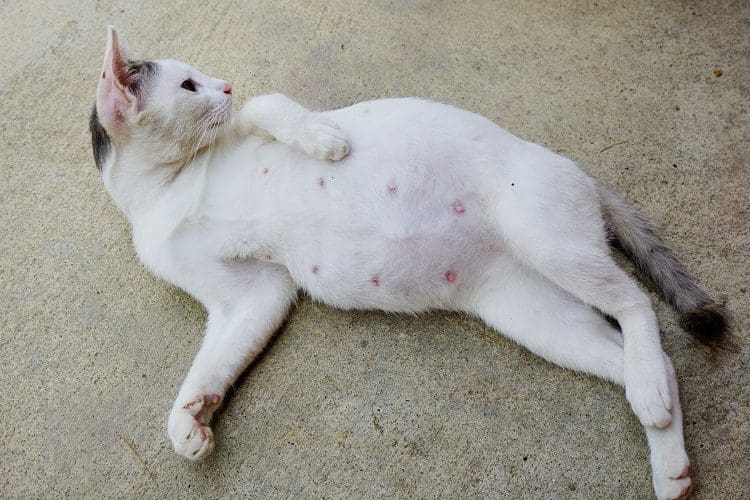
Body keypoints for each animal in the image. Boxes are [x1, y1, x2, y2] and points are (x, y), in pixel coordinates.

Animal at [86, 27, 728, 500]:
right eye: (188, 84)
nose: (225, 86)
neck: (169, 188)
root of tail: (579, 174)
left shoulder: (251, 127)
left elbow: (272, 105)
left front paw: (326, 141)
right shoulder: (253, 293)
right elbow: (214, 362)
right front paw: (190, 420)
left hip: (546, 238)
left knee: (636, 302)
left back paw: (651, 395)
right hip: (533, 312)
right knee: (644, 356)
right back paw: (664, 443)